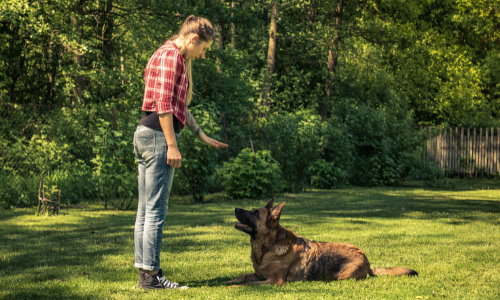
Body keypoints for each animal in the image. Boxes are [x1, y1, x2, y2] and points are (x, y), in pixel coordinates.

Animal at [224, 197, 418, 286]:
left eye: (255, 213)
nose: (236, 208)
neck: (268, 248)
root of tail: (367, 261)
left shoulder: (274, 281)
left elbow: (247, 283)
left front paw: (233, 287)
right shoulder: (259, 274)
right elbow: (242, 277)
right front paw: (229, 281)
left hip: (341, 277)